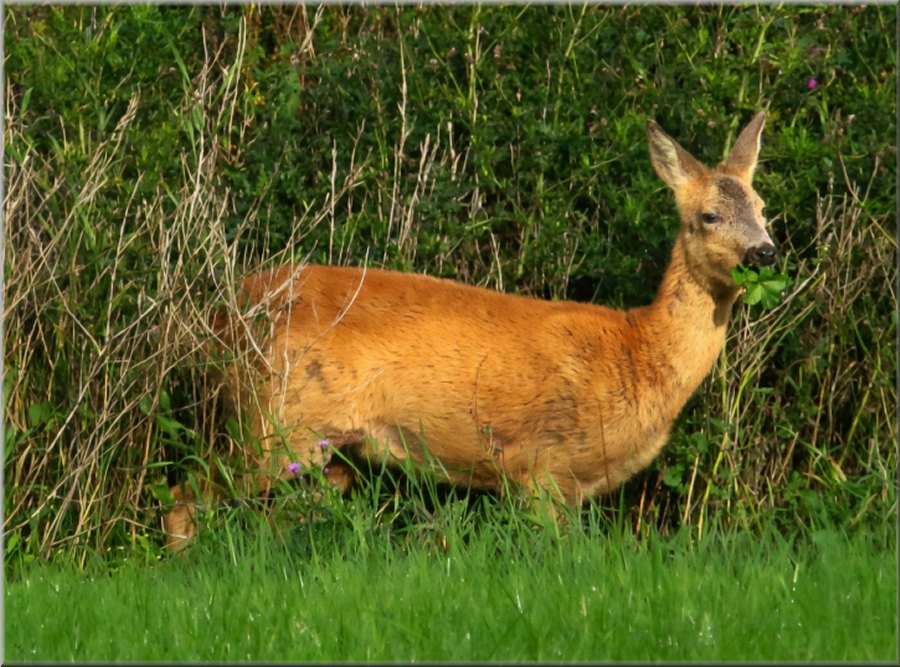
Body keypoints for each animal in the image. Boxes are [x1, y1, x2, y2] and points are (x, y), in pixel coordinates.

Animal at [163, 111, 779, 549]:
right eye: (708, 216)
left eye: (762, 207)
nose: (766, 252)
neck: (636, 352)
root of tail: (222, 315)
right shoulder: (541, 465)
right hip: (270, 424)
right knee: (183, 496)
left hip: (322, 450)